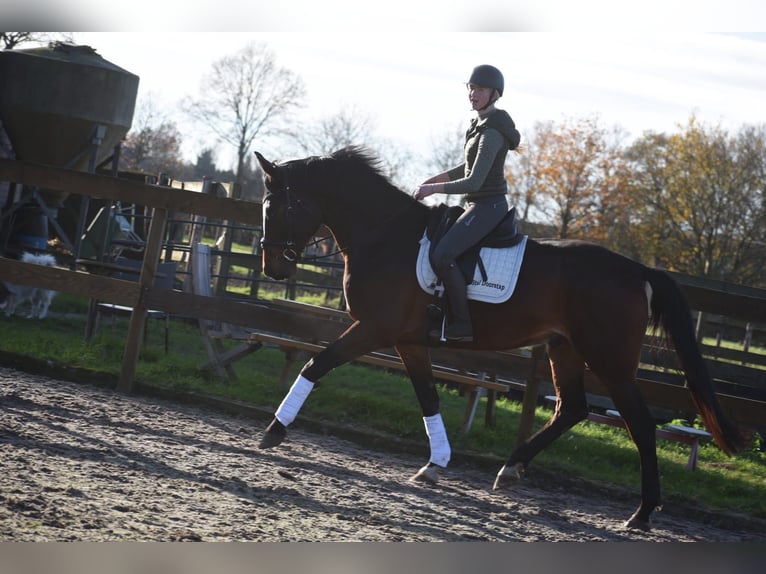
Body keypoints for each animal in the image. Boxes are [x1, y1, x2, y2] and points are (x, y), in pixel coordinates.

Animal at [253, 145, 745, 531]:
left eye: (277, 207)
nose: (273, 267)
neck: (385, 234)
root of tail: (637, 270)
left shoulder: (376, 328)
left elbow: (317, 363)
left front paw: (274, 431)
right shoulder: (408, 341)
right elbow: (428, 397)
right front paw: (435, 465)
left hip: (610, 360)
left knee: (639, 424)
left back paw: (641, 514)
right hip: (564, 348)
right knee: (572, 408)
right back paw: (510, 469)